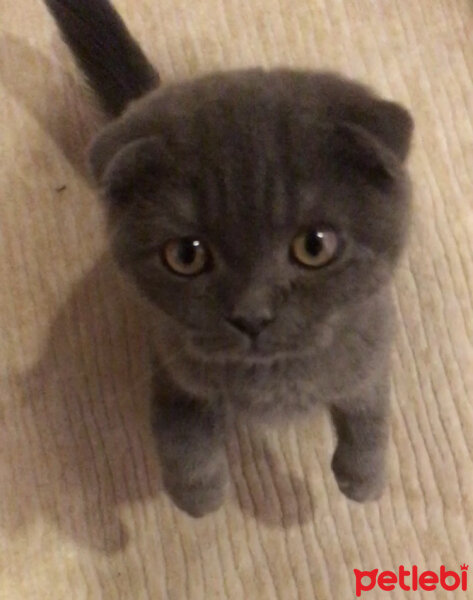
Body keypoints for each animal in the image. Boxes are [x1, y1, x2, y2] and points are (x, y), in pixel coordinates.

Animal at [44, 0, 412, 516]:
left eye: (314, 246)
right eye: (186, 255)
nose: (252, 316)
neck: (273, 380)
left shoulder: (371, 339)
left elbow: (370, 411)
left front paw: (363, 479)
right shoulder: (171, 359)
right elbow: (178, 431)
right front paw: (199, 495)